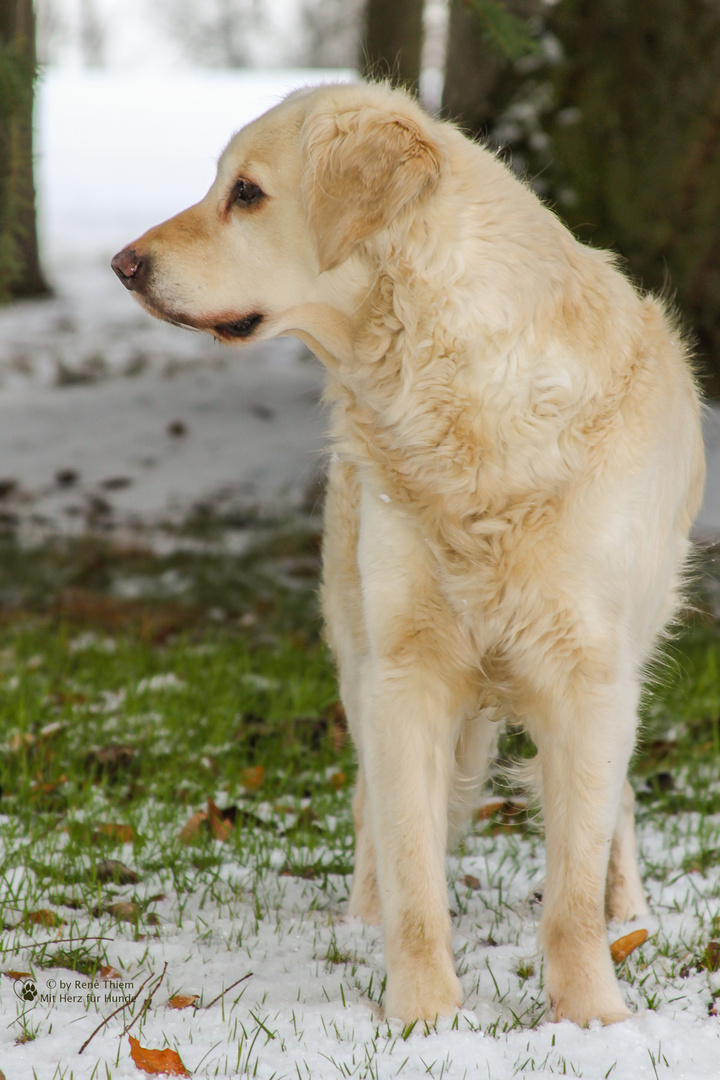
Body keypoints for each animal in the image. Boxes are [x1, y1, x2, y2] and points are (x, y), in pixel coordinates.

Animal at [112, 79, 703, 1023]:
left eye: (246, 193)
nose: (124, 265)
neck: (459, 393)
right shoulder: (405, 671)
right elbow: (413, 866)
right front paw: (424, 1016)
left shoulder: (589, 674)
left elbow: (572, 884)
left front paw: (590, 1014)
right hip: (358, 654)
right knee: (370, 807)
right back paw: (361, 917)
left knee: (615, 810)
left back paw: (630, 909)